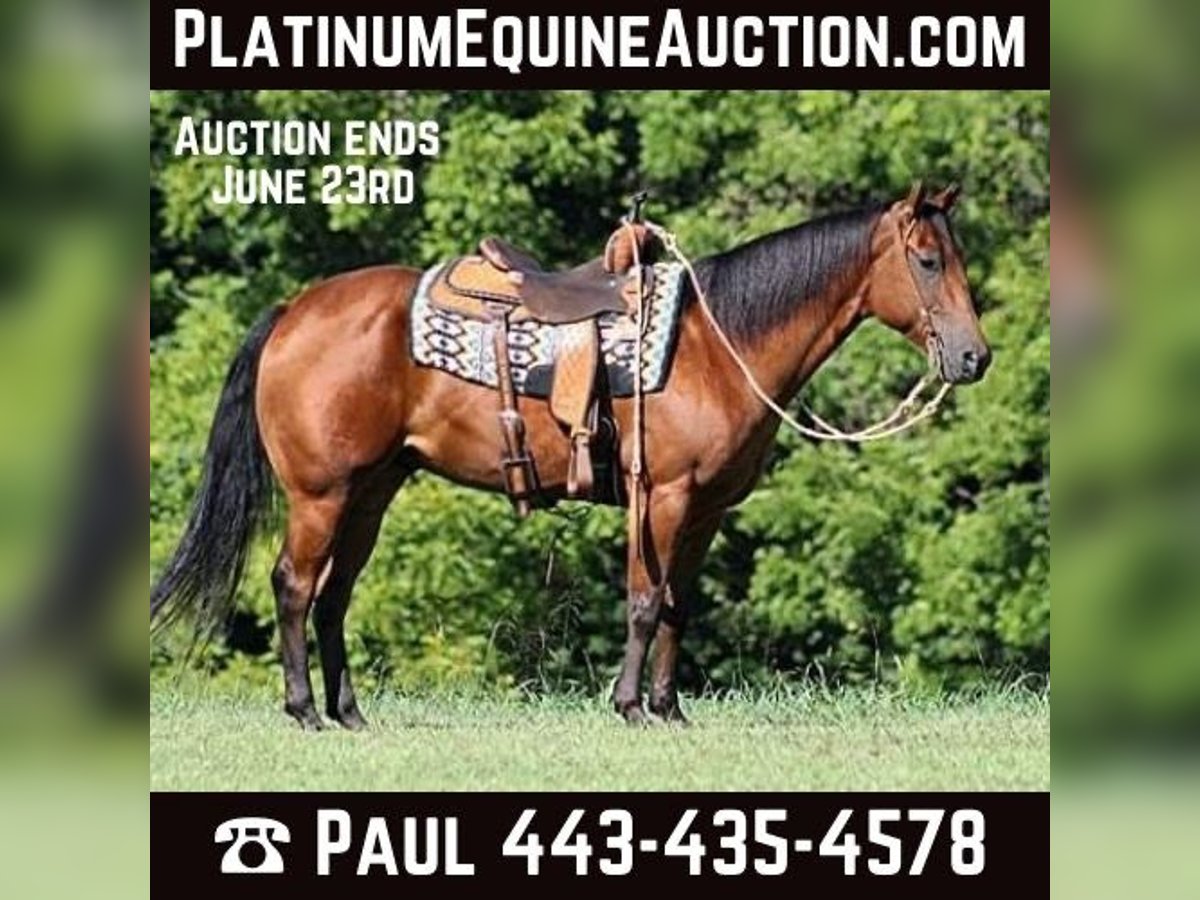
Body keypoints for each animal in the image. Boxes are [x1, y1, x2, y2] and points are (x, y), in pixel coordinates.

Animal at [150, 182, 990, 729]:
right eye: (925, 260)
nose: (974, 357)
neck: (719, 345)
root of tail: (295, 309)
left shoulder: (706, 510)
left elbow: (678, 605)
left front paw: (669, 709)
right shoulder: (664, 496)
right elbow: (647, 598)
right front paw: (630, 707)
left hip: (371, 492)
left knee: (333, 596)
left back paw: (351, 714)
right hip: (322, 494)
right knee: (294, 586)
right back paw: (304, 712)